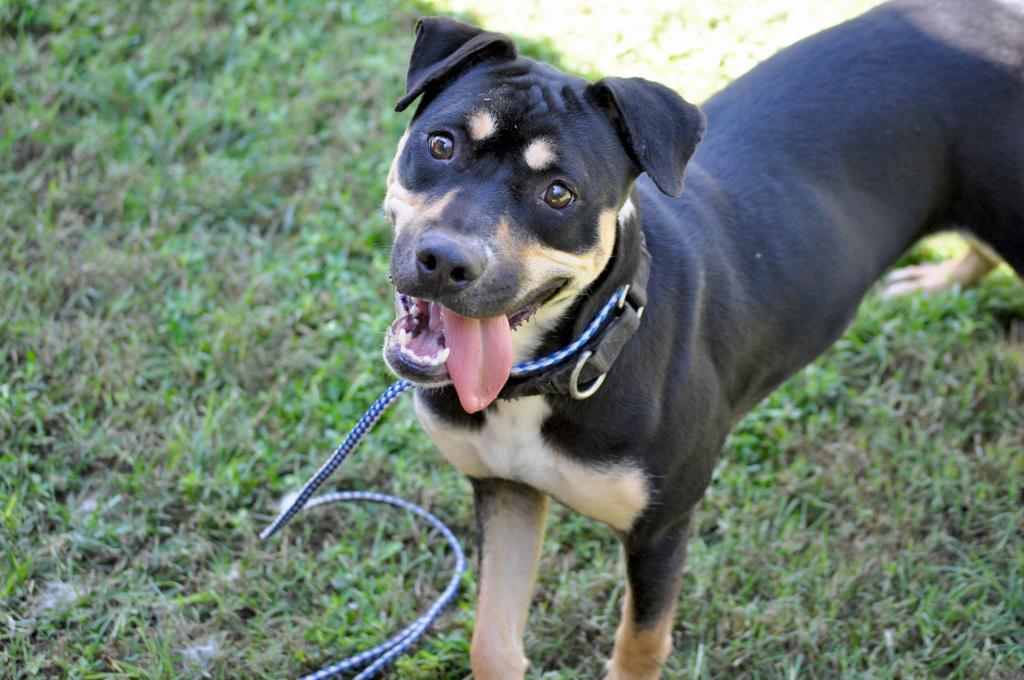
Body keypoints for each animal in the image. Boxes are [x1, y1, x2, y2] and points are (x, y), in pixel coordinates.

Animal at [378, 2, 1024, 675]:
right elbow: (493, 641)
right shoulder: (506, 489)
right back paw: (943, 280)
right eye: (441, 143)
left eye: (559, 194)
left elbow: (640, 644)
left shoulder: (660, 530)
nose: (444, 262)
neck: (567, 358)